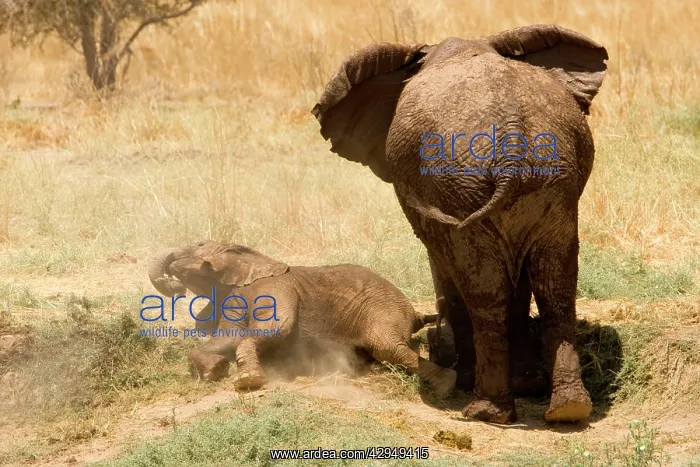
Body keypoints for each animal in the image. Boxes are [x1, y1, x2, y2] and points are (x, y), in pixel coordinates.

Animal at [147, 240, 458, 398]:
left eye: (197, 245)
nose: (174, 286)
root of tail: (413, 311)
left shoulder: (273, 289)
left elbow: (276, 328)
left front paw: (247, 382)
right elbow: (229, 335)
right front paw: (214, 370)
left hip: (383, 310)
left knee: (389, 347)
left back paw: (446, 386)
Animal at [312, 24, 608, 423]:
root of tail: (512, 144)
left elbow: (448, 267)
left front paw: (475, 380)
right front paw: (528, 384)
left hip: (461, 187)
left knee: (484, 289)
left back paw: (484, 411)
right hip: (550, 179)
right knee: (555, 285)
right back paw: (567, 410)